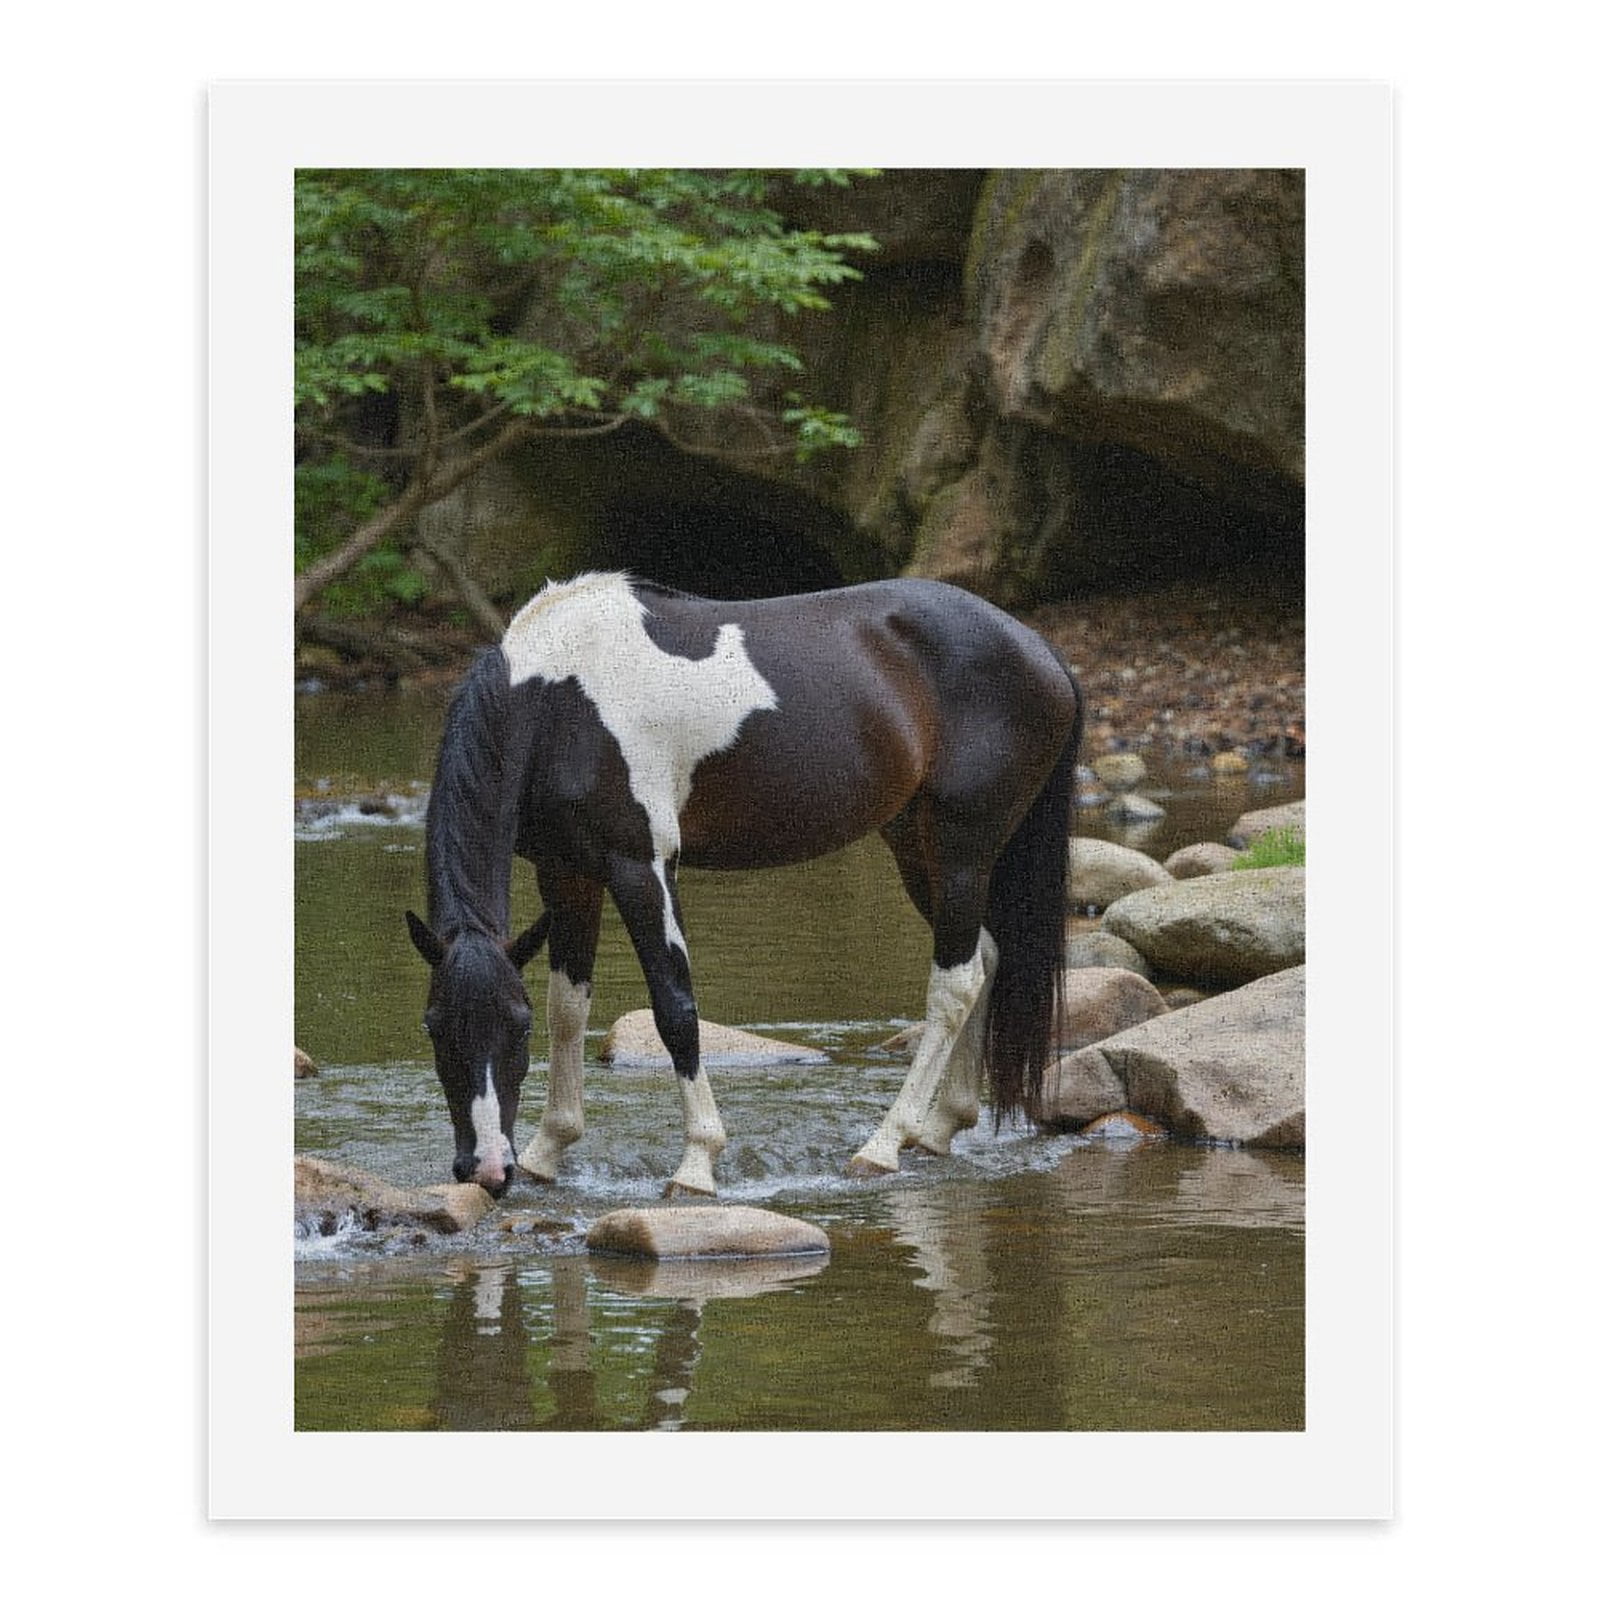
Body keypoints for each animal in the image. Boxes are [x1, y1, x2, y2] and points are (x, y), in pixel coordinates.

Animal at [405, 571, 1083, 1197]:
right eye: (434, 1026)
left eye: (515, 1028)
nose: (486, 1169)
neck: (561, 700)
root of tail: (1042, 651)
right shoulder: (567, 871)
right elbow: (569, 1008)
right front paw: (548, 1151)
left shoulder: (641, 866)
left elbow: (675, 1008)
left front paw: (697, 1163)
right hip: (918, 848)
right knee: (985, 958)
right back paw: (942, 1127)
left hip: (962, 847)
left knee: (954, 984)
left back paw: (883, 1146)